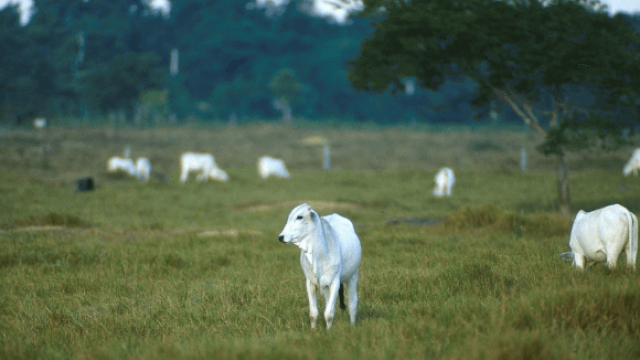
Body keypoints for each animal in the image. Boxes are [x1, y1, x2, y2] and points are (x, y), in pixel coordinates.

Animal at [278, 202, 362, 330]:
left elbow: (329, 313)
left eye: (299, 217)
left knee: (352, 302)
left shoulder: (335, 281)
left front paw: (329, 331)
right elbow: (314, 313)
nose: (281, 237)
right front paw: (314, 330)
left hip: (353, 276)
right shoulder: (310, 282)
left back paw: (352, 324)